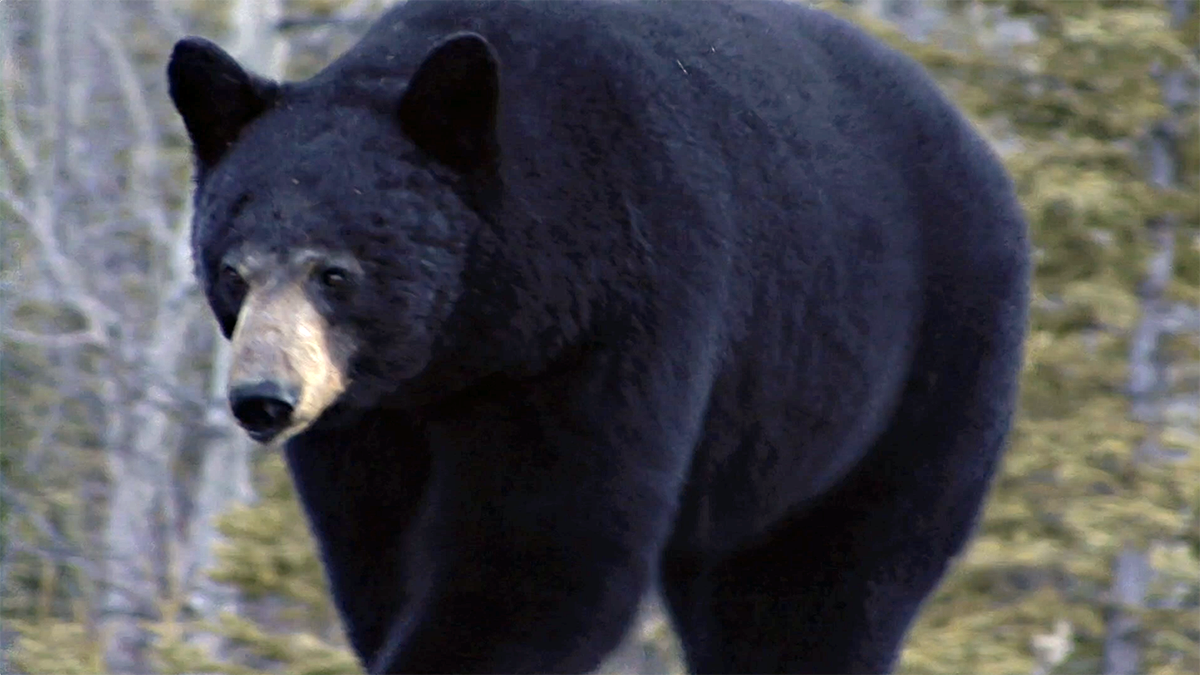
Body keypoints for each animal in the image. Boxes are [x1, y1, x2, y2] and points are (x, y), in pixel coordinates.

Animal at [166, 0, 1030, 674]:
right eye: (233, 272)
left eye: (334, 273)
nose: (263, 398)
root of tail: (982, 149)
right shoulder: (373, 414)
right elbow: (380, 551)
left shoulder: (609, 322)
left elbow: (546, 554)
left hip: (916, 374)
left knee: (823, 589)